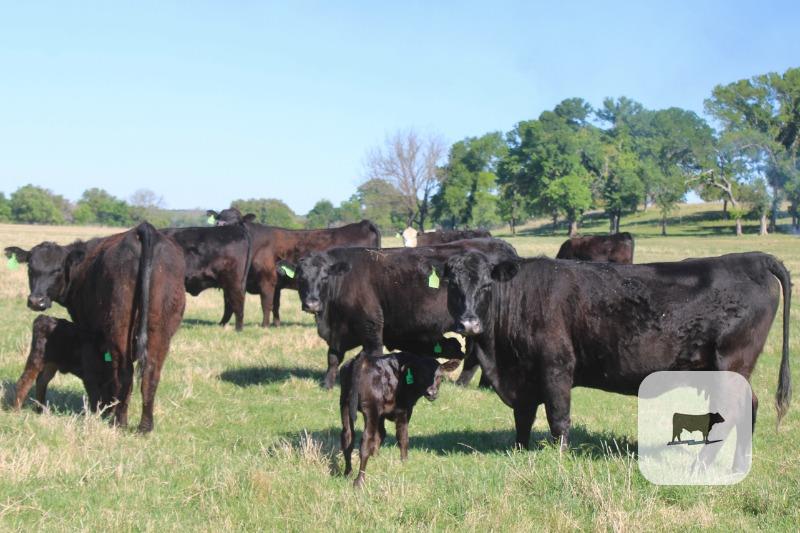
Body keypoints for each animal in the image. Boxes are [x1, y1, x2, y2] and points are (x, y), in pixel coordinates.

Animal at [4, 222, 186, 433]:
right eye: (30, 268)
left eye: (57, 270)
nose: (36, 301)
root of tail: (144, 229)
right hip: (160, 330)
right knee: (150, 373)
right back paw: (144, 427)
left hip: (120, 328)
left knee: (125, 373)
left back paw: (119, 421)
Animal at [207, 208, 381, 328]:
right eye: (217, 221)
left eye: (236, 222)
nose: (221, 230)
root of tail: (363, 224)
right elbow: (274, 305)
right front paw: (276, 325)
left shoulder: (266, 280)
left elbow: (265, 304)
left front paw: (264, 326)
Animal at [281, 238, 518, 388]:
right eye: (300, 278)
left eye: (324, 278)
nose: (312, 303)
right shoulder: (338, 333)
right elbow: (332, 358)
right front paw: (327, 384)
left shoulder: (372, 326)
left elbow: (373, 355)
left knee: (474, 356)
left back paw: (464, 384)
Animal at [340, 350, 460, 487]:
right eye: (422, 374)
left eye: (440, 377)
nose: (432, 393)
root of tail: (363, 358)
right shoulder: (404, 410)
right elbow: (403, 437)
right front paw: (404, 463)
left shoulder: (382, 413)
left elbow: (380, 434)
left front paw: (376, 458)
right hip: (371, 408)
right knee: (365, 441)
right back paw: (359, 481)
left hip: (345, 403)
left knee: (347, 436)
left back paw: (348, 473)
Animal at [439, 250, 791, 450]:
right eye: (453, 285)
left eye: (486, 286)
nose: (469, 323)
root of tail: (753, 258)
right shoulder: (522, 379)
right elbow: (522, 419)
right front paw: (519, 452)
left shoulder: (555, 367)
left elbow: (558, 418)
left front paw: (558, 458)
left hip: (731, 364)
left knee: (738, 408)